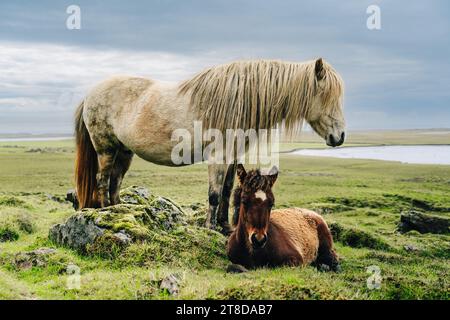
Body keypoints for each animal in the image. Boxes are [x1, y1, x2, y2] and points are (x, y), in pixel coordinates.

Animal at [74, 58, 344, 232]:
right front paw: (210, 228)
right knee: (102, 179)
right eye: (327, 96)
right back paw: (104, 211)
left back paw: (119, 210)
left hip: (124, 152)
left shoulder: (233, 156)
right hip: (106, 148)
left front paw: (225, 225)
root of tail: (89, 94)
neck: (238, 101)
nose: (340, 136)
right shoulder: (219, 156)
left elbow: (227, 190)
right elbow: (214, 194)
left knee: (116, 180)